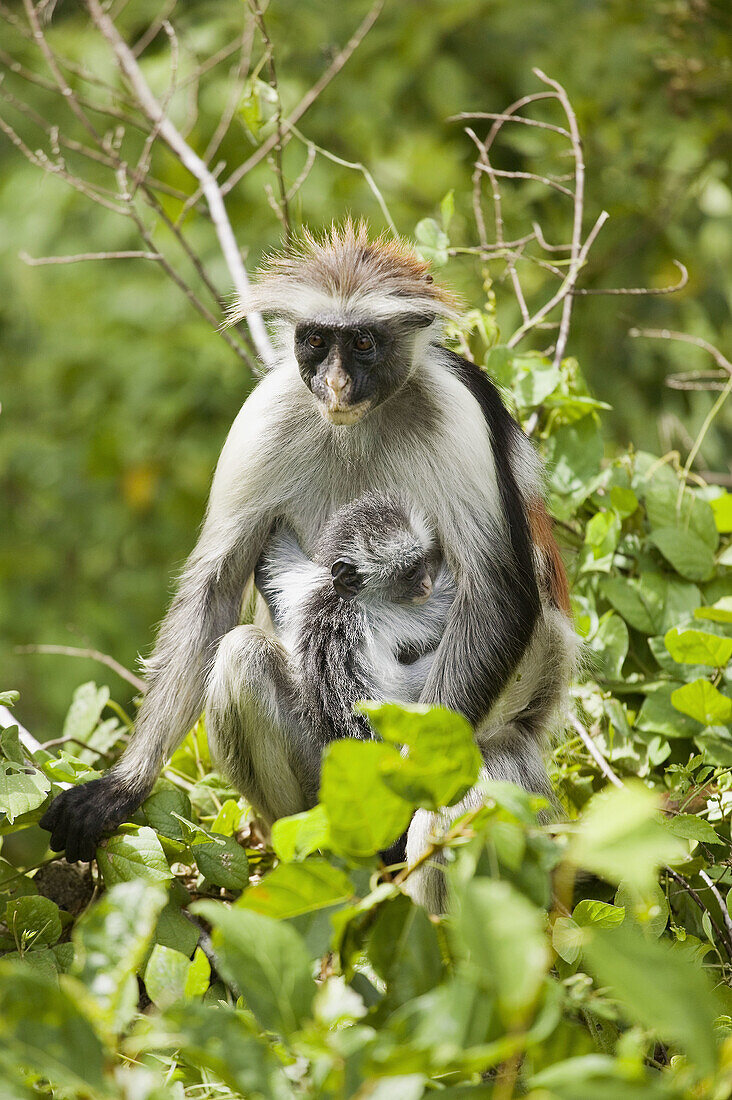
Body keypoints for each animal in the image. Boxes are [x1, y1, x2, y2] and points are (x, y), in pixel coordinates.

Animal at [42, 223, 572, 902]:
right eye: (317, 341)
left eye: (364, 342)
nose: (337, 385)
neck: (362, 422)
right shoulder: (269, 408)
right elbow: (217, 588)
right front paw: (123, 786)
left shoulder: (454, 410)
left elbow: (497, 594)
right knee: (241, 656)